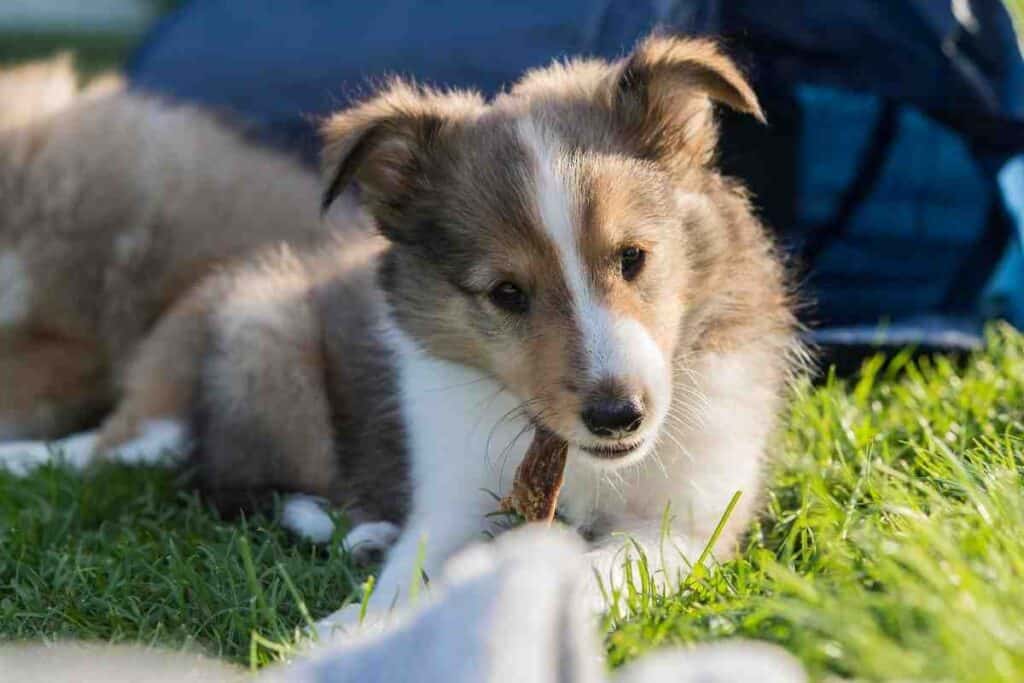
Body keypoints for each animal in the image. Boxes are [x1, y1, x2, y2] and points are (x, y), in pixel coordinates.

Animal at [2, 38, 798, 630]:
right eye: (506, 294)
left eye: (632, 257)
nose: (619, 415)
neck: (578, 459)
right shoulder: (449, 494)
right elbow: (407, 579)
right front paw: (342, 632)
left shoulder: (684, 527)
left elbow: (586, 566)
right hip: (267, 354)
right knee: (150, 456)